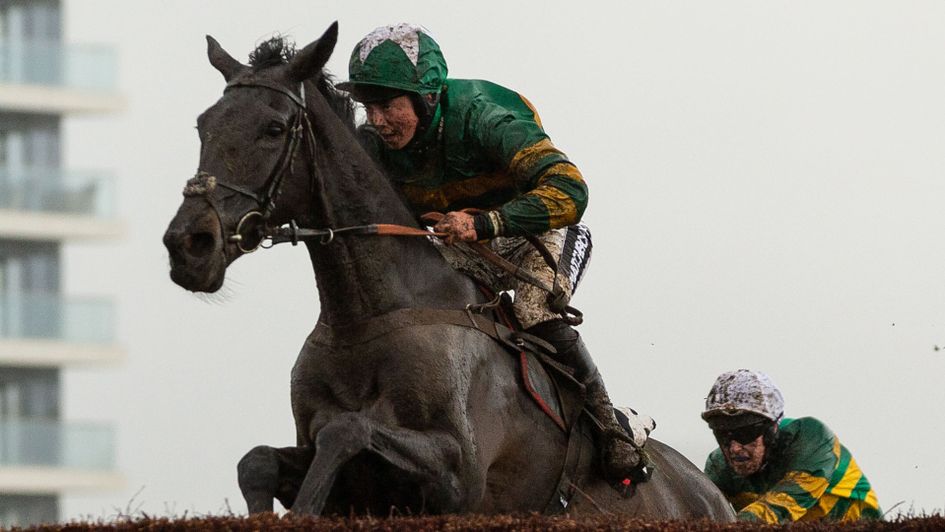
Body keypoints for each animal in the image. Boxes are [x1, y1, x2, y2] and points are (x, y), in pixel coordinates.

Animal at [162, 21, 732, 520]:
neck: (366, 315)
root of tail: (713, 493)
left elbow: (346, 431)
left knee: (542, 309)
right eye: (203, 125)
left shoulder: (458, 473)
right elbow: (258, 459)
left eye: (274, 127)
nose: (188, 245)